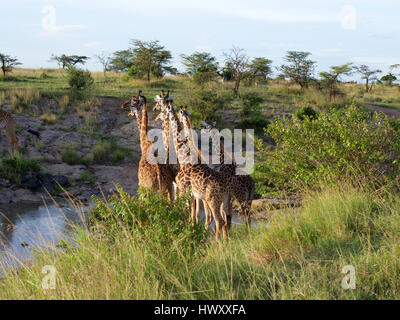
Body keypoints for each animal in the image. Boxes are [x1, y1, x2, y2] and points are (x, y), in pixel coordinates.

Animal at [168, 105, 231, 240]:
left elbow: (189, 212)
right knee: (225, 219)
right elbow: (193, 214)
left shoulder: (184, 188)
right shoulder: (192, 193)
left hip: (211, 199)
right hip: (222, 200)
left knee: (216, 219)